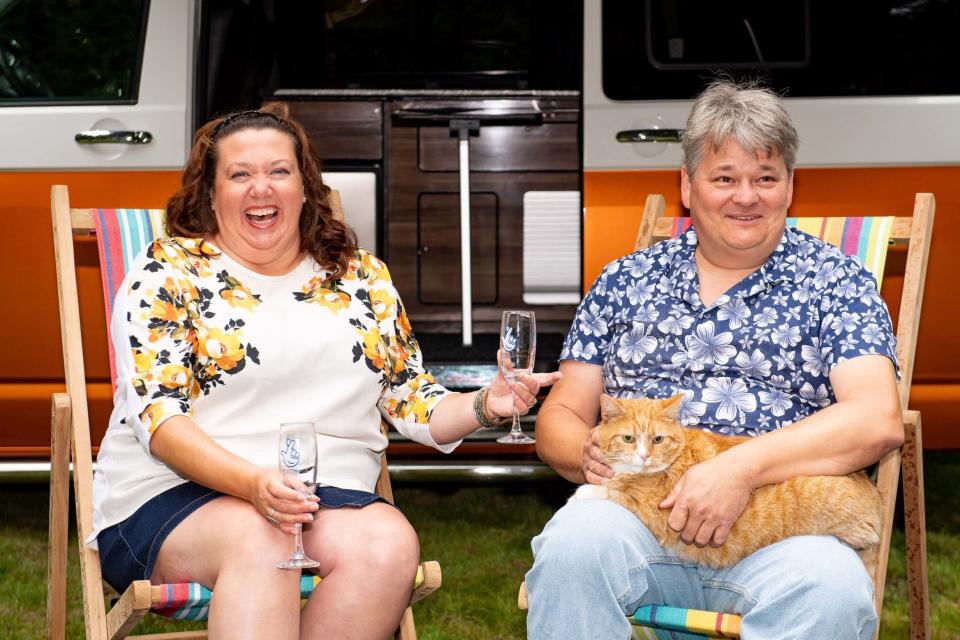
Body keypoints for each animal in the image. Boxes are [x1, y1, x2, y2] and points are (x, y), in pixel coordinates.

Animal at [568, 396, 884, 568]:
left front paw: (584, 491)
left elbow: (611, 493)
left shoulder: (656, 514)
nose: (644, 456)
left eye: (657, 439)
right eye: (628, 438)